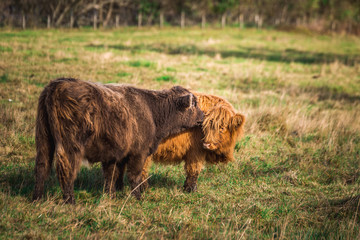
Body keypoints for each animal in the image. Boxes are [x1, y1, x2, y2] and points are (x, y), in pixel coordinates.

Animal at [32, 78, 204, 202]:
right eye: (194, 104)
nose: (203, 115)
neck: (153, 111)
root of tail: (57, 84)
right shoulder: (138, 153)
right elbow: (134, 175)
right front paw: (137, 197)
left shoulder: (112, 154)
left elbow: (111, 175)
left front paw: (111, 195)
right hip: (70, 145)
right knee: (66, 168)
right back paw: (70, 201)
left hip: (43, 139)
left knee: (42, 166)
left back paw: (37, 198)